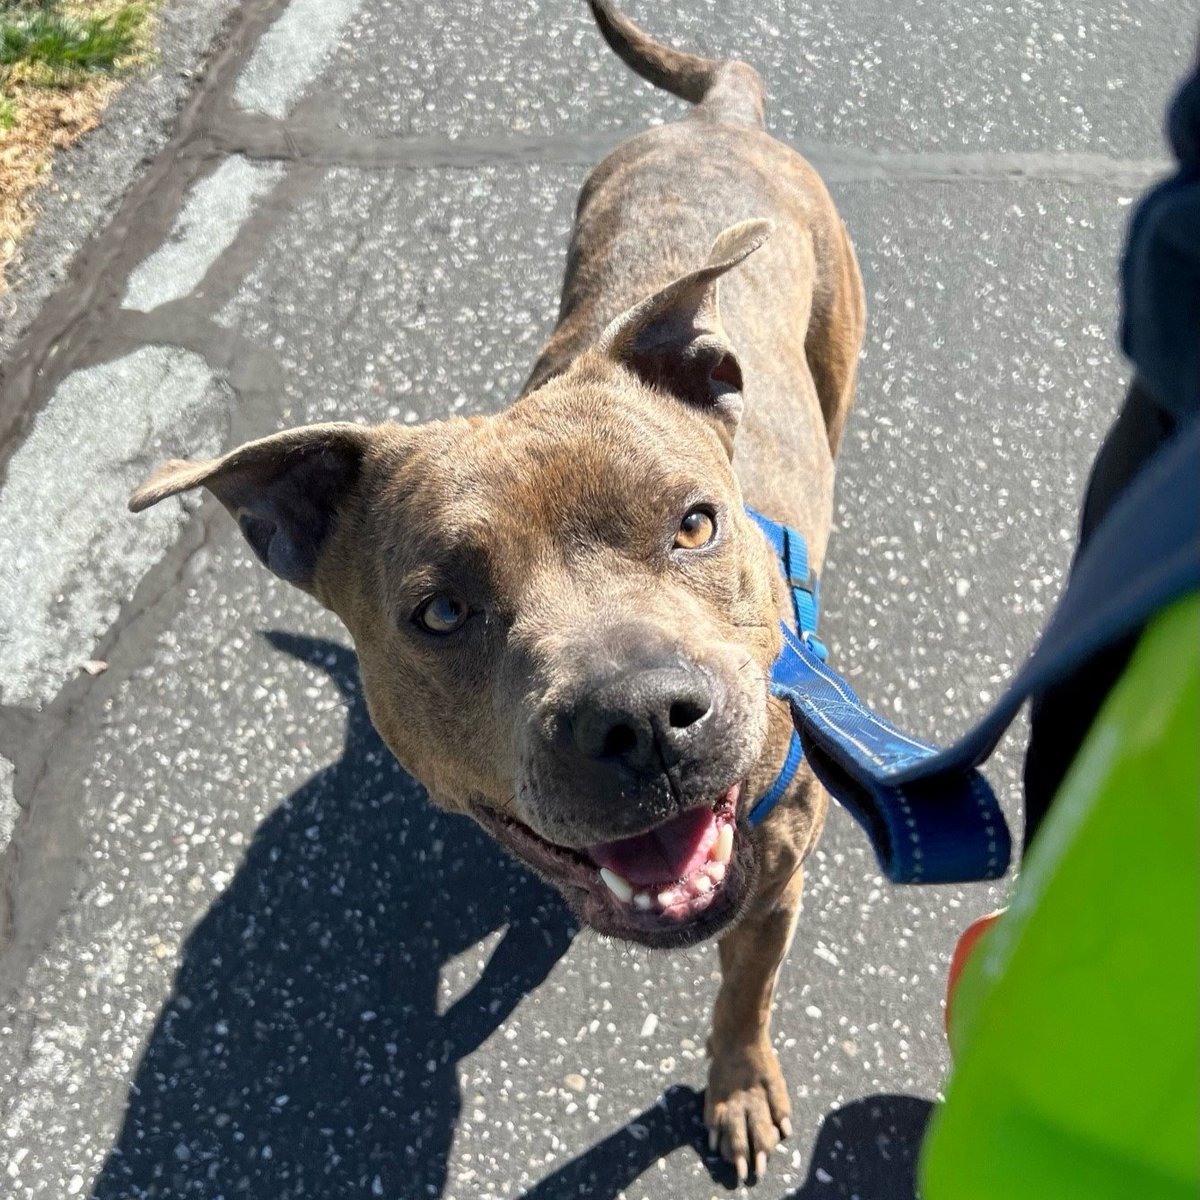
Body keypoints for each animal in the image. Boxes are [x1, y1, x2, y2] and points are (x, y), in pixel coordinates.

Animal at [131, 0, 864, 1180]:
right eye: (440, 612)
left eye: (695, 523)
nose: (642, 719)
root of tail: (718, 118)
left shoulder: (777, 878)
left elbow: (745, 994)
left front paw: (738, 1085)